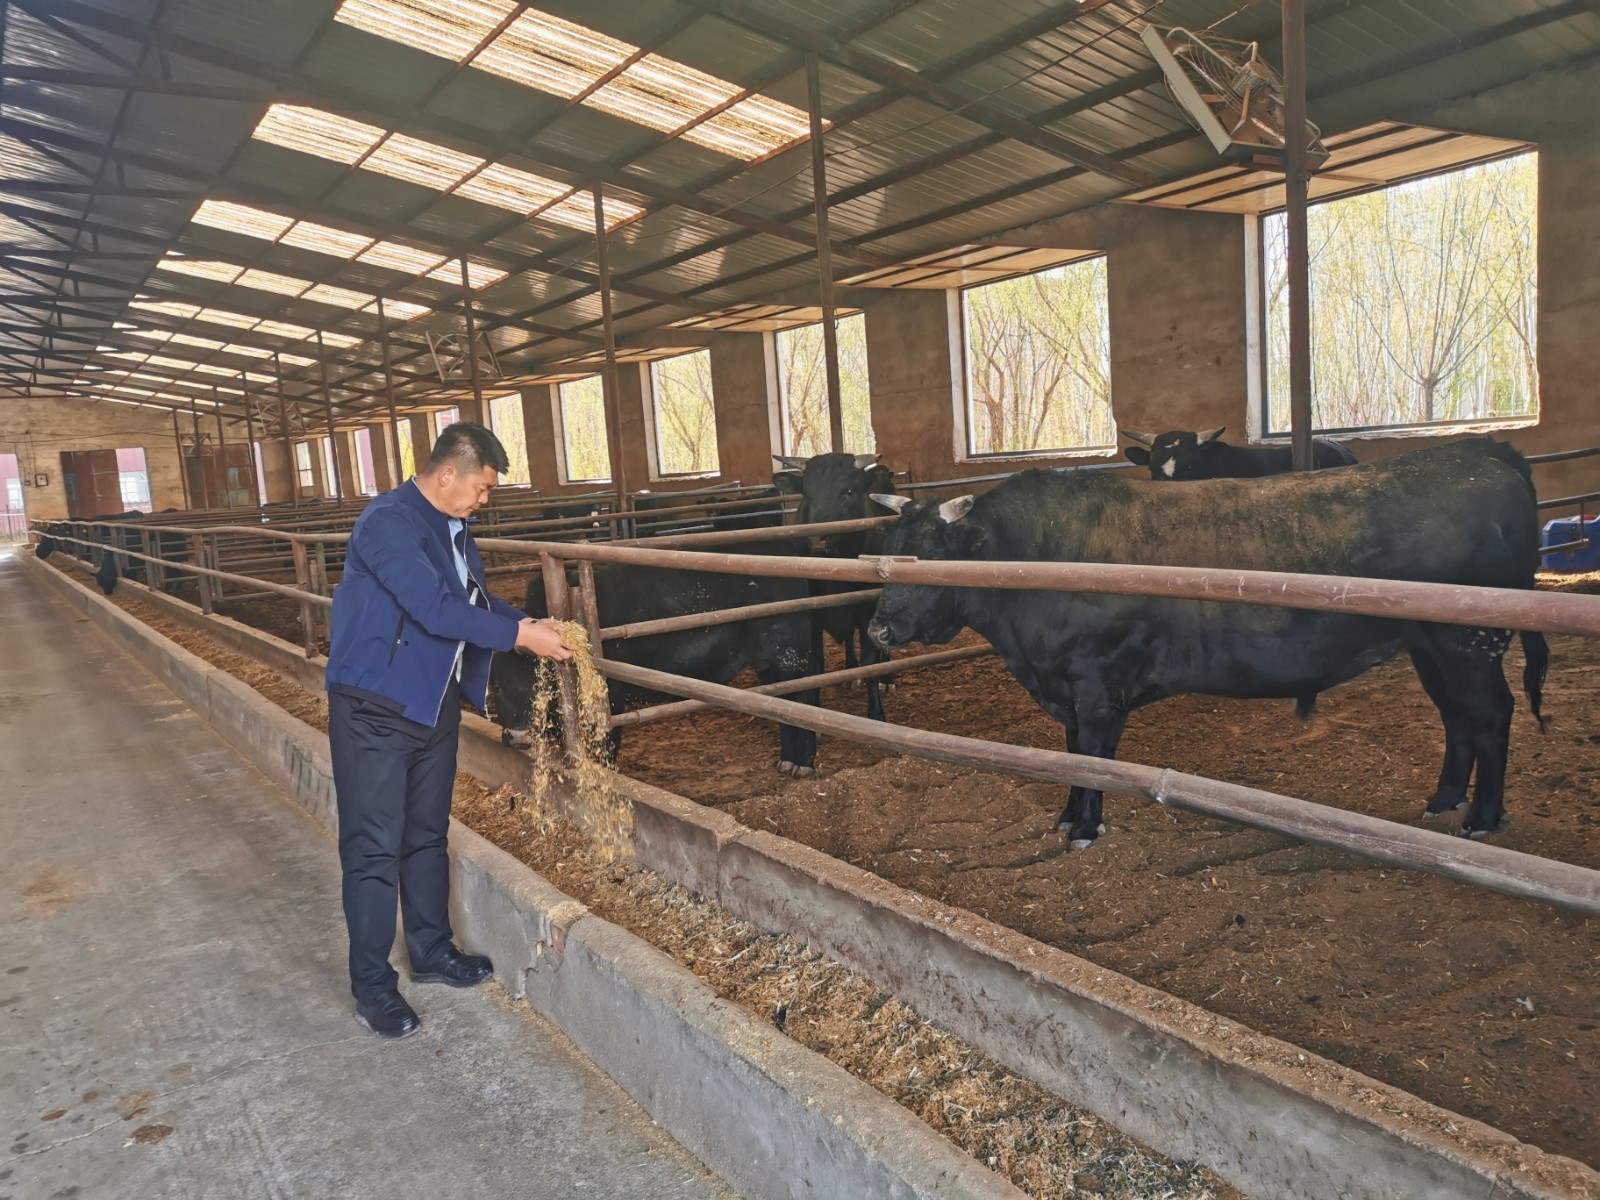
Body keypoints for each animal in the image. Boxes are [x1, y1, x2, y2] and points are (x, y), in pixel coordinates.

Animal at [486, 556, 825, 774]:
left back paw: (803, 765)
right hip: (771, 668)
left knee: (805, 699)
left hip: (792, 658)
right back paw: (786, 761)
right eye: (497, 684)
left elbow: (606, 744)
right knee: (786, 707)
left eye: (544, 681)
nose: (518, 737)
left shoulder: (612, 698)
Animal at [771, 454, 896, 720]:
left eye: (849, 491)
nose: (817, 541)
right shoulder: (813, 615)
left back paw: (888, 677)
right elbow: (816, 667)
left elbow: (869, 665)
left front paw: (876, 714)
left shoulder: (866, 611)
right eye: (807, 493)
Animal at [876, 438, 1548, 844]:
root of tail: (1476, 453)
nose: (879, 626)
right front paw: (1070, 815)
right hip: (1432, 647)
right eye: (888, 549)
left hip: (1469, 642)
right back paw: (1443, 800)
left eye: (932, 556)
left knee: (1491, 715)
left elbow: (1092, 754)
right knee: (1458, 718)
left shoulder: (1095, 684)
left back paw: (1482, 818)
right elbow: (1073, 753)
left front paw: (1086, 826)